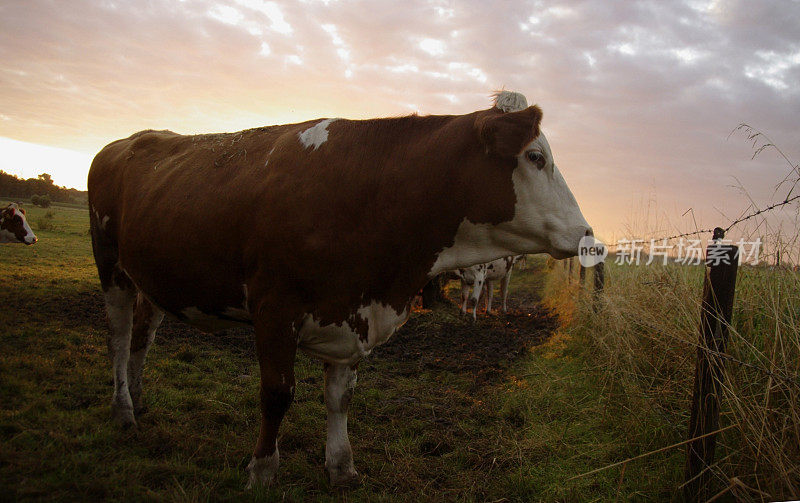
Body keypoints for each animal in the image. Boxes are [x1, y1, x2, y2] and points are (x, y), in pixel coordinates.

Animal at [87, 90, 592, 488]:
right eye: (535, 157)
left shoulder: (353, 312)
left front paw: (341, 466)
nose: (588, 235)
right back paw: (122, 409)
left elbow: (340, 397)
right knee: (118, 338)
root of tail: (128, 140)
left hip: (151, 277)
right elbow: (278, 393)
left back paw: (138, 398)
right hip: (111, 267)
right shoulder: (275, 309)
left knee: (143, 336)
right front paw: (262, 469)